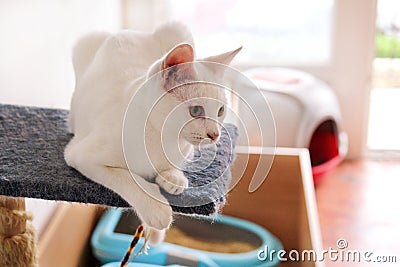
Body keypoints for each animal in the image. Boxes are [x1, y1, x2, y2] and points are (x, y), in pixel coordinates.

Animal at [65, 22, 241, 246]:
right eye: (196, 111)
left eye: (220, 111)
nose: (215, 135)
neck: (164, 138)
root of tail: (130, 31)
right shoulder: (81, 156)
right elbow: (127, 178)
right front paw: (157, 210)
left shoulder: (186, 151)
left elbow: (176, 165)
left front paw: (173, 178)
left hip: (176, 28)